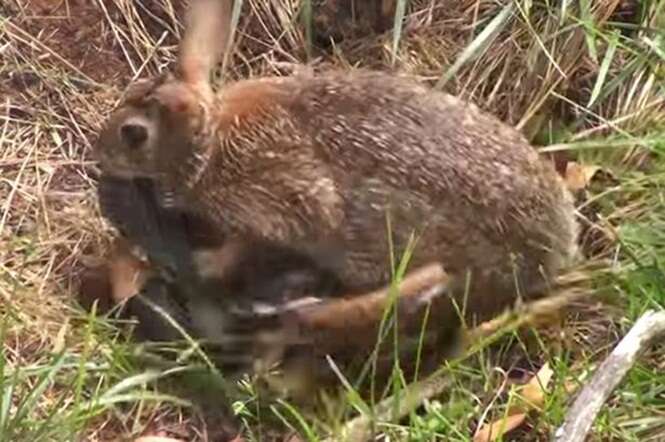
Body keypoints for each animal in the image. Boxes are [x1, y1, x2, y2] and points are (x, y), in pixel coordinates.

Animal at [91, 0, 580, 394]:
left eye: (133, 134)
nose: (98, 156)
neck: (208, 141)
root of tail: (556, 249)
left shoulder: (281, 201)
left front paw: (199, 264)